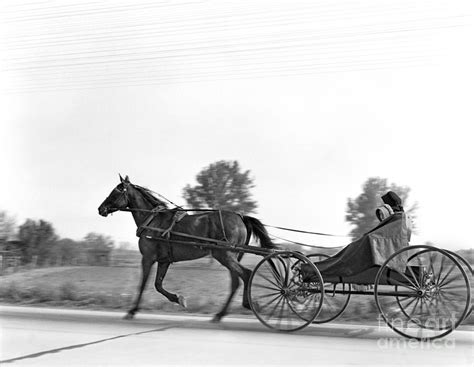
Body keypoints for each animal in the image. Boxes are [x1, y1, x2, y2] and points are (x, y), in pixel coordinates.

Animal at [97, 175, 274, 322]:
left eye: (115, 192)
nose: (100, 209)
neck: (153, 220)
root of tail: (240, 217)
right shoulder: (164, 260)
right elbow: (158, 285)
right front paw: (178, 299)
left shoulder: (147, 258)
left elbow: (143, 284)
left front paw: (132, 311)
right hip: (230, 256)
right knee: (236, 282)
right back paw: (220, 314)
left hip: (224, 255)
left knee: (246, 274)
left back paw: (247, 304)